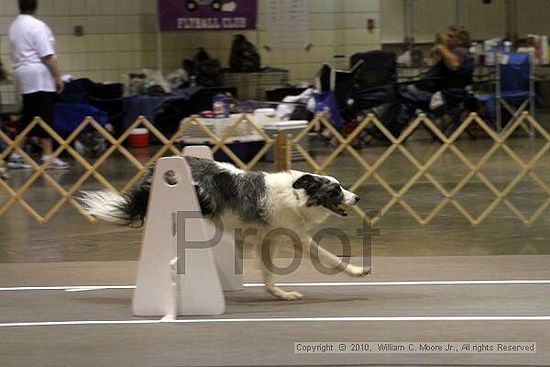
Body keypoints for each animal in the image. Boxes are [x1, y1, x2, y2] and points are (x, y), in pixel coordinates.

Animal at [80, 157, 370, 300]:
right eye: (336, 190)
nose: (357, 197)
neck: (297, 194)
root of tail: (153, 169)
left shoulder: (267, 239)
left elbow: (268, 274)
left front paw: (280, 294)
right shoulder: (298, 237)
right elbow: (330, 258)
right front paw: (357, 271)